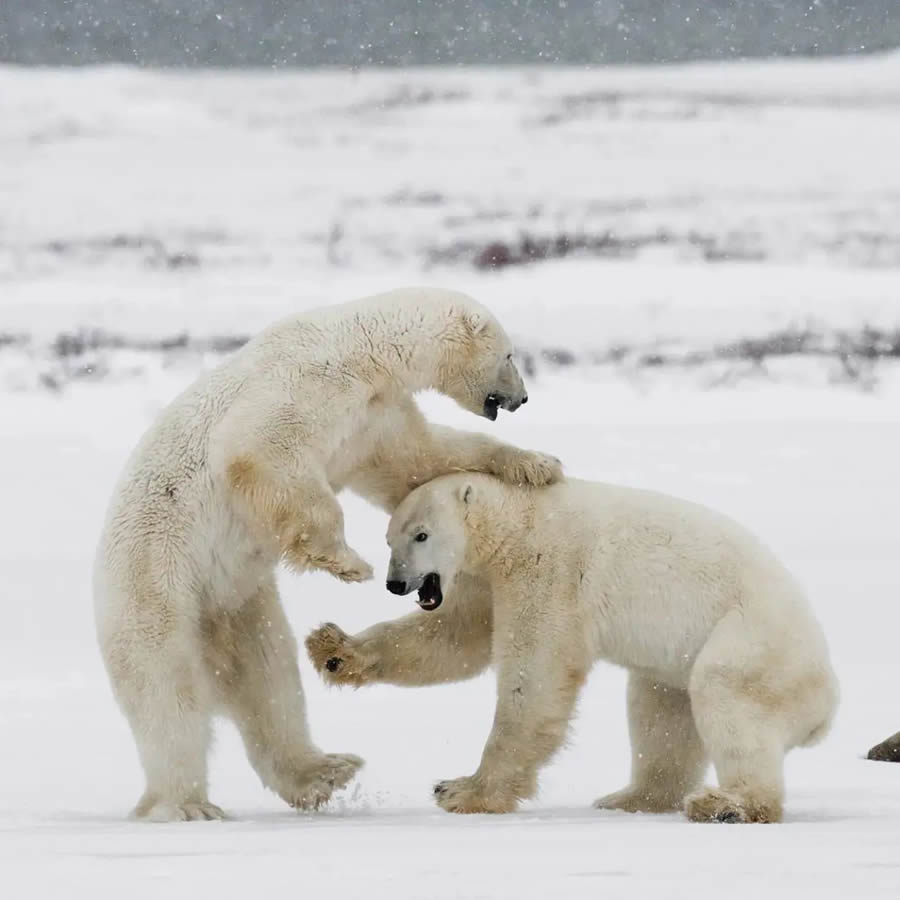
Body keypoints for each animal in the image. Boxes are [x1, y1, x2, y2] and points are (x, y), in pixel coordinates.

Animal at [98, 290, 564, 824]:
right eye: (509, 354)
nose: (522, 397)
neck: (361, 350)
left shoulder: (372, 417)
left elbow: (419, 460)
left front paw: (536, 464)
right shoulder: (305, 384)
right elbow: (260, 452)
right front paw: (347, 562)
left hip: (236, 601)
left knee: (267, 674)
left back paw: (323, 771)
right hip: (156, 582)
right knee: (168, 691)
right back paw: (186, 804)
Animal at [308, 474, 836, 828]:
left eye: (421, 535)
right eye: (388, 538)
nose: (397, 583)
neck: (519, 517)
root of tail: (825, 706)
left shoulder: (548, 568)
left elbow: (534, 673)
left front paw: (463, 790)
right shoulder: (489, 580)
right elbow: (458, 637)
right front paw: (332, 650)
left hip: (752, 643)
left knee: (725, 698)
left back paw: (726, 804)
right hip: (678, 664)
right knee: (659, 712)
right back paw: (631, 797)